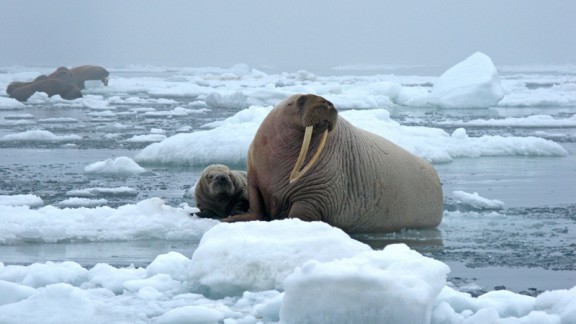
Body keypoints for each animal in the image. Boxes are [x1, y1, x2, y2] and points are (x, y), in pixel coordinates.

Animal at [223, 93, 444, 233]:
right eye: (301, 100)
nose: (328, 103)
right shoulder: (254, 176)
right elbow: (256, 204)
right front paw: (231, 218)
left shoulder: (316, 193)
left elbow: (301, 212)